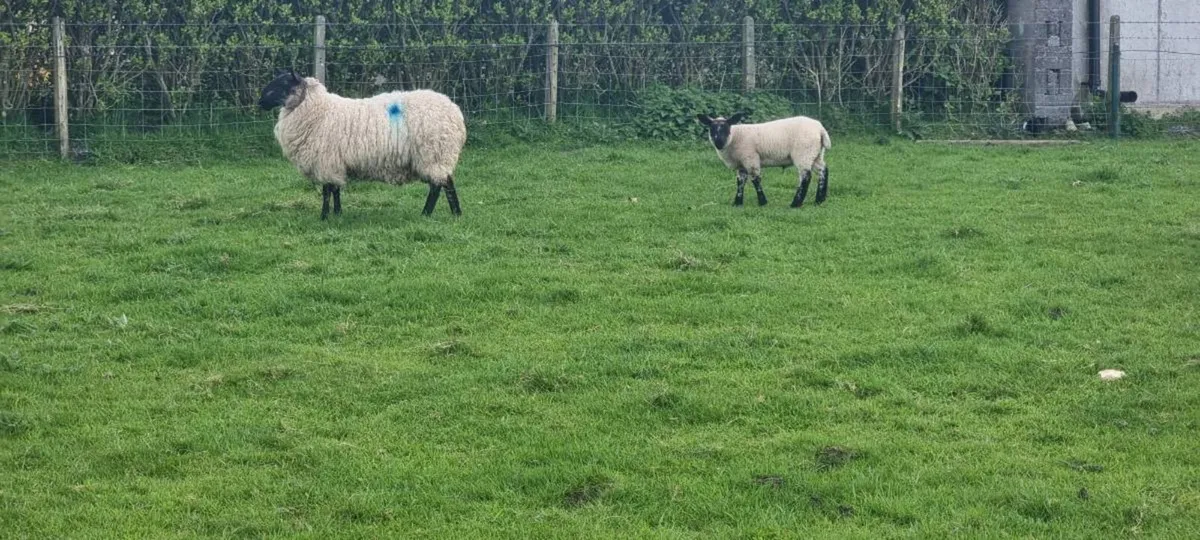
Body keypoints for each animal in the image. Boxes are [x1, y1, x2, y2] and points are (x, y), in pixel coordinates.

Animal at [257, 70, 467, 219]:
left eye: (282, 84)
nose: (260, 102)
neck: (317, 110)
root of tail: (455, 112)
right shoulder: (335, 162)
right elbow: (335, 189)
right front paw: (338, 214)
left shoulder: (326, 161)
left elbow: (326, 191)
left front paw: (324, 216)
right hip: (439, 156)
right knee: (447, 183)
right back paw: (456, 213)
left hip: (434, 153)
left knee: (437, 186)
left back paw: (426, 214)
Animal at [696, 112, 831, 208]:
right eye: (711, 129)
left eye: (726, 128)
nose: (718, 142)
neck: (734, 137)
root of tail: (821, 129)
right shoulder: (741, 164)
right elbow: (740, 182)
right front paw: (737, 203)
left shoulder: (750, 158)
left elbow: (755, 180)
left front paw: (762, 202)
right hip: (816, 154)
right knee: (823, 170)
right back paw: (819, 200)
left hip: (803, 153)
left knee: (805, 177)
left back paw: (795, 203)